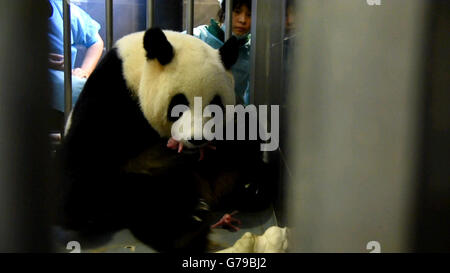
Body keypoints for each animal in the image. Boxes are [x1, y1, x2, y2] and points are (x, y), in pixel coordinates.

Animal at [59, 27, 270, 251]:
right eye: (179, 103)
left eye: (215, 105)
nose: (197, 139)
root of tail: (211, 192)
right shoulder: (112, 95)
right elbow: (80, 173)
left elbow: (245, 133)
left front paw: (251, 182)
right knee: (146, 203)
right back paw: (188, 222)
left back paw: (248, 190)